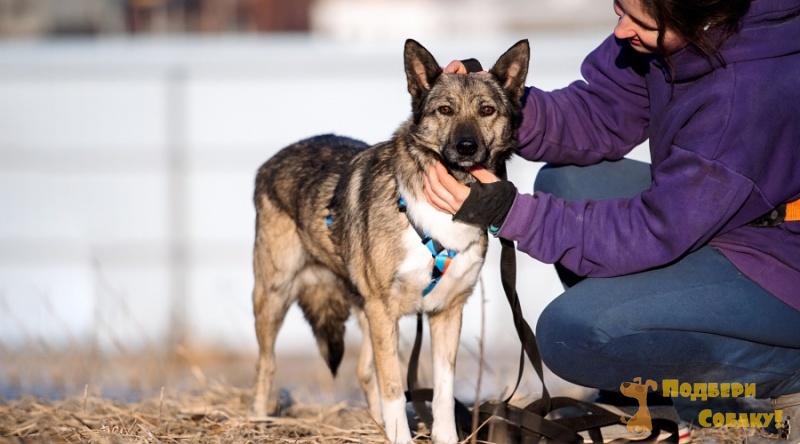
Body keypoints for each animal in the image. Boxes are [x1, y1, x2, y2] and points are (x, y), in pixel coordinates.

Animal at [250, 39, 529, 443]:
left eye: (487, 110)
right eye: (445, 110)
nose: (466, 147)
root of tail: (274, 159)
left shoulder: (447, 312)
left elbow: (442, 392)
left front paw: (443, 437)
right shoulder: (384, 311)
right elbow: (395, 387)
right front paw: (400, 436)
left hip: (362, 308)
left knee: (365, 371)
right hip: (274, 295)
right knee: (267, 364)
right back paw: (257, 421)